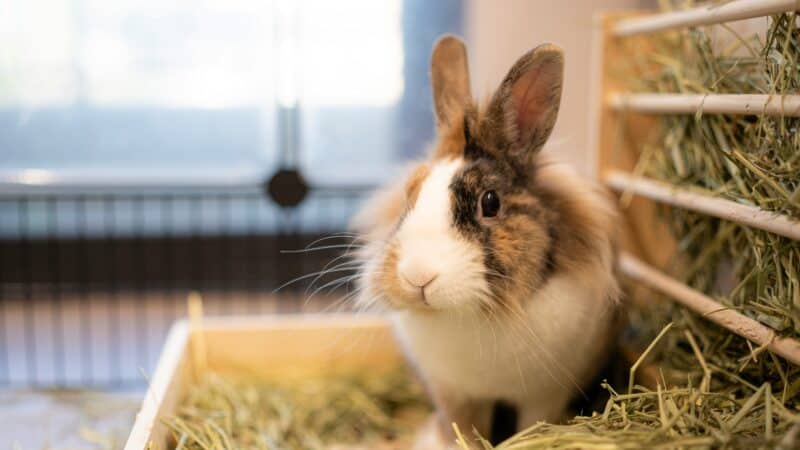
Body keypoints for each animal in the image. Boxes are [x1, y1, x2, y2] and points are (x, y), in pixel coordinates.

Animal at [351, 35, 621, 448]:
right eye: (410, 195)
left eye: (490, 202)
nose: (418, 276)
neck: (475, 313)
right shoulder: (455, 393)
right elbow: (461, 427)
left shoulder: (545, 394)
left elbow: (533, 425)